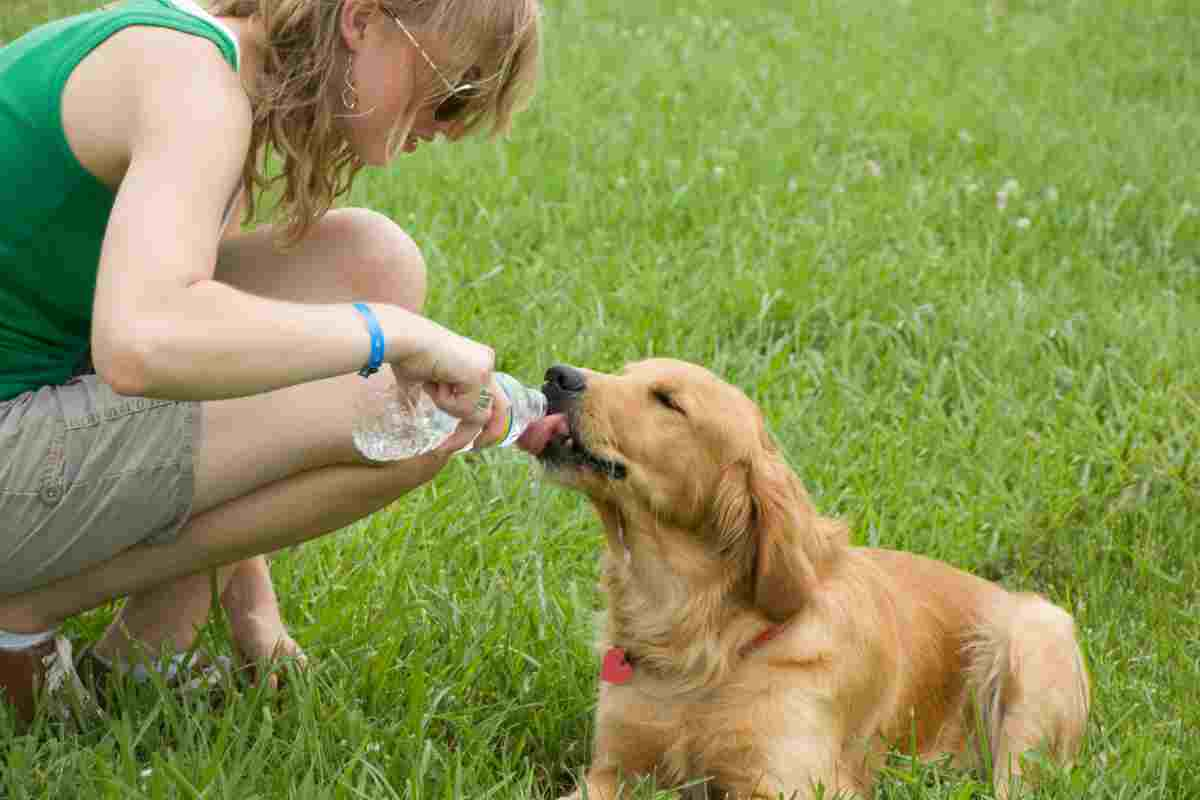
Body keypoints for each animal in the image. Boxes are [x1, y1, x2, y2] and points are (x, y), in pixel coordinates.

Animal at [516, 359, 1089, 796]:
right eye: (625, 372)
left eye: (667, 401)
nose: (557, 375)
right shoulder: (612, 769)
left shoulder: (790, 780)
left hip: (1035, 643)